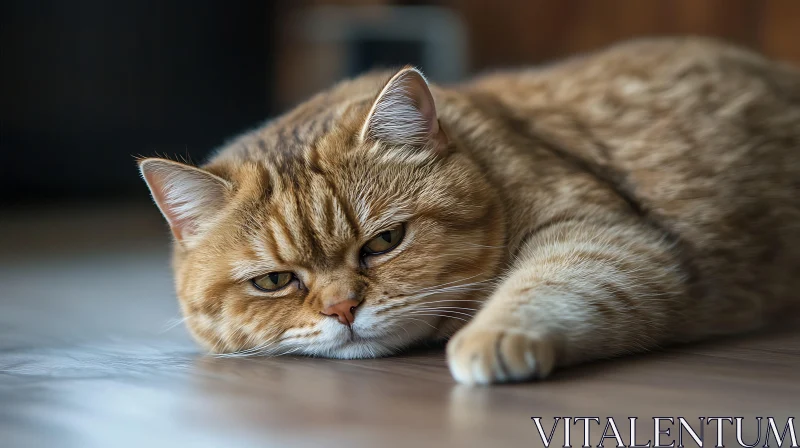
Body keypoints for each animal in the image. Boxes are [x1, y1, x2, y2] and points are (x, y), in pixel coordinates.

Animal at [139, 37, 800, 384]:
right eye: (275, 281)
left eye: (385, 242)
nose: (343, 310)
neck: (489, 156)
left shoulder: (605, 235)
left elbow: (550, 283)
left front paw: (493, 336)